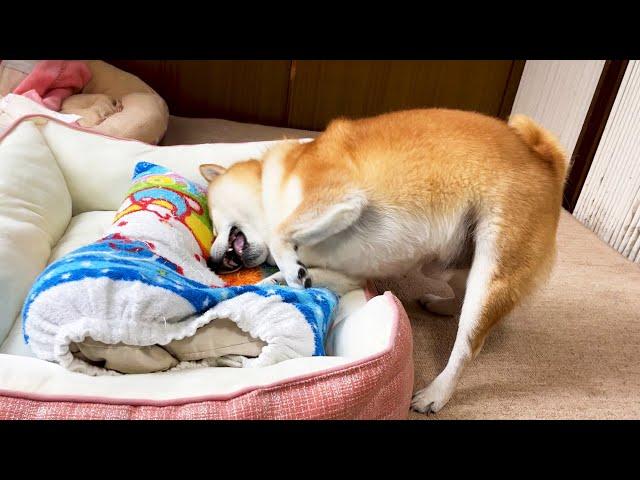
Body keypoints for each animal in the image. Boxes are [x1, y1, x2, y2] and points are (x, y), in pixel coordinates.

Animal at [199, 109, 564, 412]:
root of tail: (544, 159)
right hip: (452, 256)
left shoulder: (342, 198)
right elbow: (285, 277)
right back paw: (442, 304)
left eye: (214, 224)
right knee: (461, 289)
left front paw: (289, 265)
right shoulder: (347, 274)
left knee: (467, 344)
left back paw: (436, 393)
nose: (213, 262)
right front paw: (281, 280)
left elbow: (279, 233)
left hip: (493, 263)